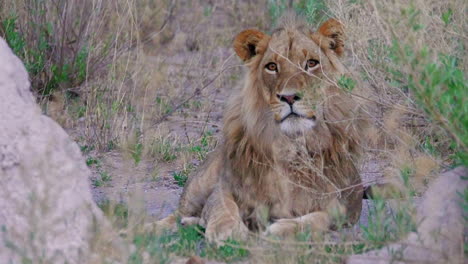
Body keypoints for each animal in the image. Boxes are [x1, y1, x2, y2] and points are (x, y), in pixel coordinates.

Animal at [157, 16, 370, 242]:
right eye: (272, 66)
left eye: (311, 63)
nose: (289, 97)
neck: (292, 145)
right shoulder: (226, 186)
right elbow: (222, 205)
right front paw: (227, 232)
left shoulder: (347, 205)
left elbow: (323, 218)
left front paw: (280, 229)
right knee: (177, 215)